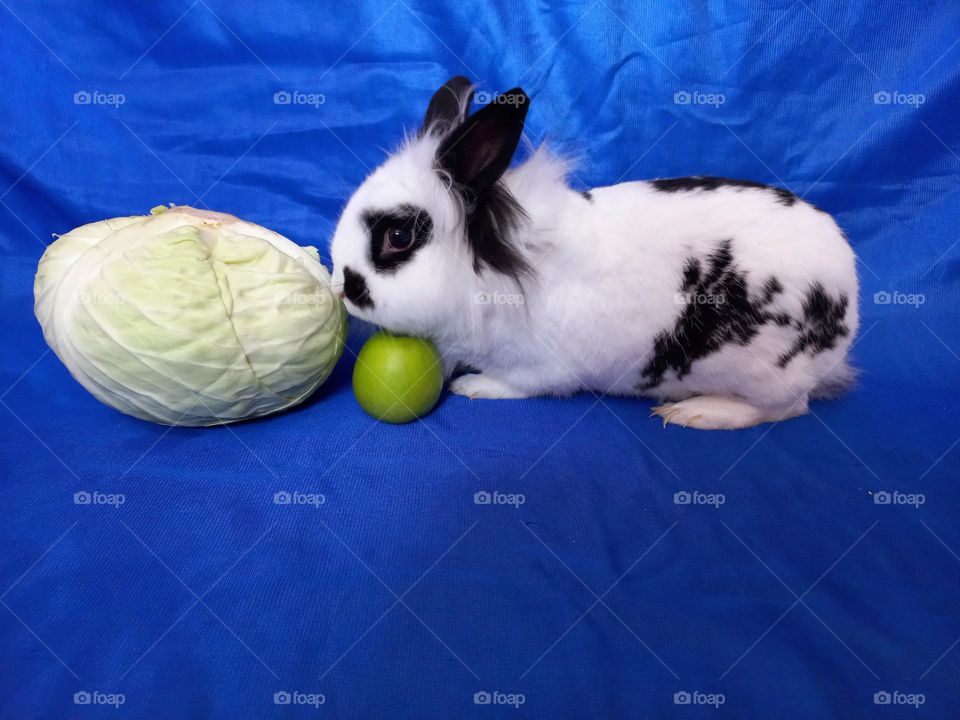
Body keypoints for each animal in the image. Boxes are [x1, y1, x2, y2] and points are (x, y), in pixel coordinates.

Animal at [329, 76, 859, 429]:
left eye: (399, 237)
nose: (343, 288)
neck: (489, 273)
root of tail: (850, 293)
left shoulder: (541, 369)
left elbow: (520, 385)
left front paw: (473, 386)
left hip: (766, 375)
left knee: (788, 408)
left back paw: (698, 412)